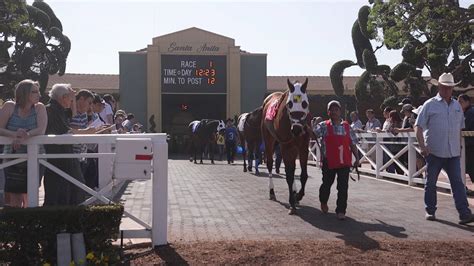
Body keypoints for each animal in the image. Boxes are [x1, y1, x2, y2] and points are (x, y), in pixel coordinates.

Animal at [260, 78, 312, 215]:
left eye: (305, 103)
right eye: (289, 104)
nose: (297, 129)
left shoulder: (303, 146)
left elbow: (303, 175)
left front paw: (298, 195)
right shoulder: (286, 146)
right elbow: (289, 175)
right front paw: (292, 203)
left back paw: (294, 192)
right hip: (269, 140)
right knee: (270, 164)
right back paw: (272, 192)